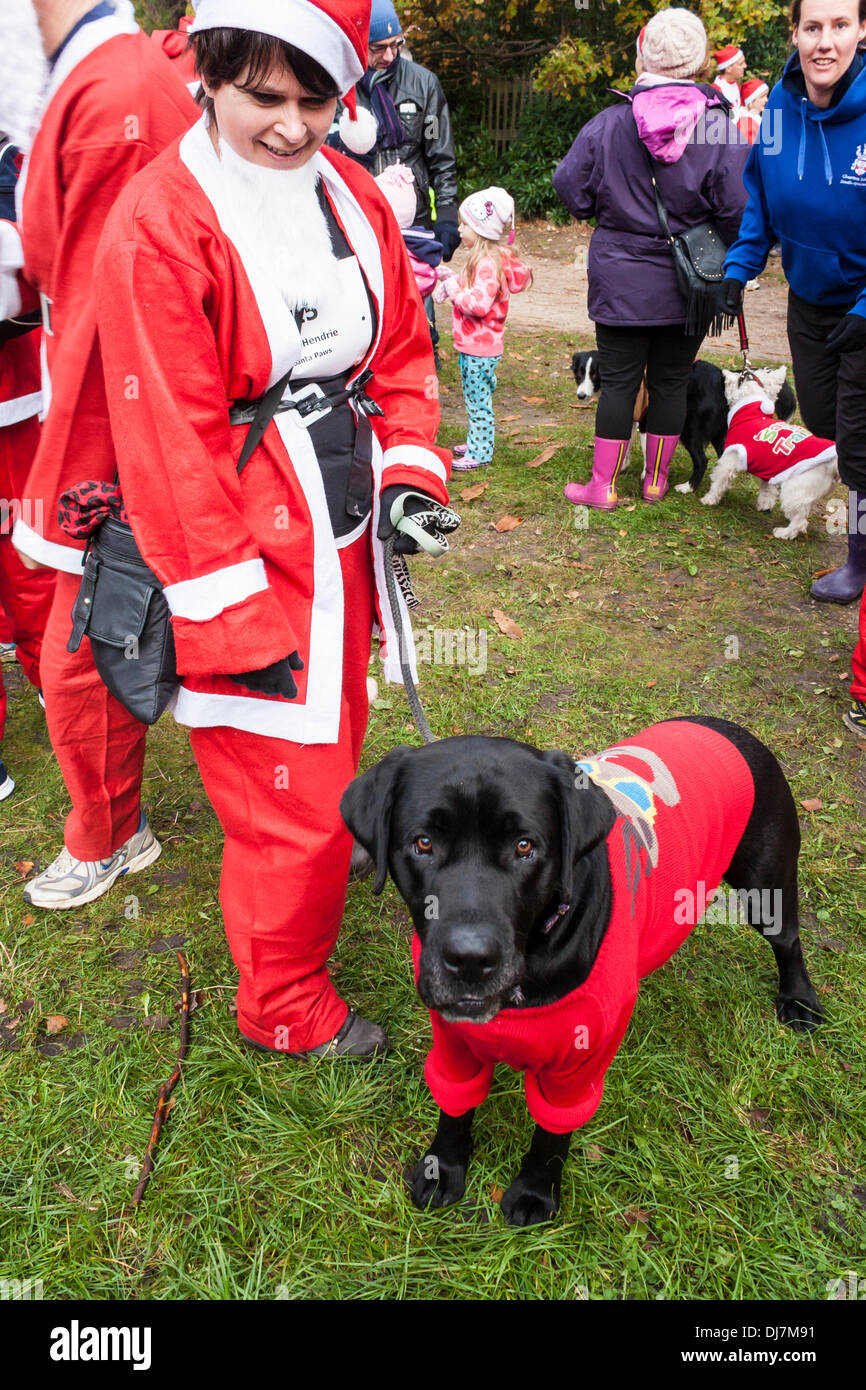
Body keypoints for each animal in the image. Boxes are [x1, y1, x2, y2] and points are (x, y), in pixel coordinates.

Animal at [572, 350, 795, 492]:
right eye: (579, 374)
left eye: (595, 375)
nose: (580, 396)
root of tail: (721, 379)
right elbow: (624, 443)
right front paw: (622, 466)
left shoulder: (645, 421)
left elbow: (647, 450)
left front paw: (645, 475)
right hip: (717, 433)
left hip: (691, 431)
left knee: (702, 460)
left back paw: (688, 487)